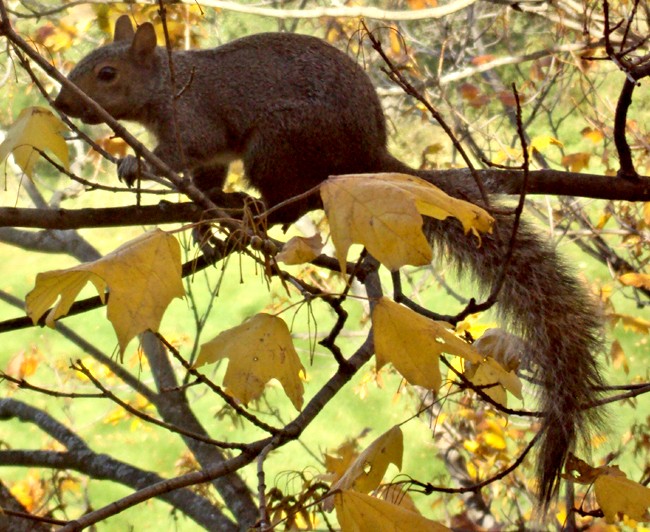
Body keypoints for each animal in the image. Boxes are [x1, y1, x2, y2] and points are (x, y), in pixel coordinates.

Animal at [54, 14, 604, 510]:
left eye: (107, 73)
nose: (60, 103)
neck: (167, 83)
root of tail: (369, 152)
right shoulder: (209, 160)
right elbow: (206, 178)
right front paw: (202, 223)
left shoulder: (192, 119)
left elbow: (182, 151)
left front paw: (135, 161)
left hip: (278, 141)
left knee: (288, 198)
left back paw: (258, 209)